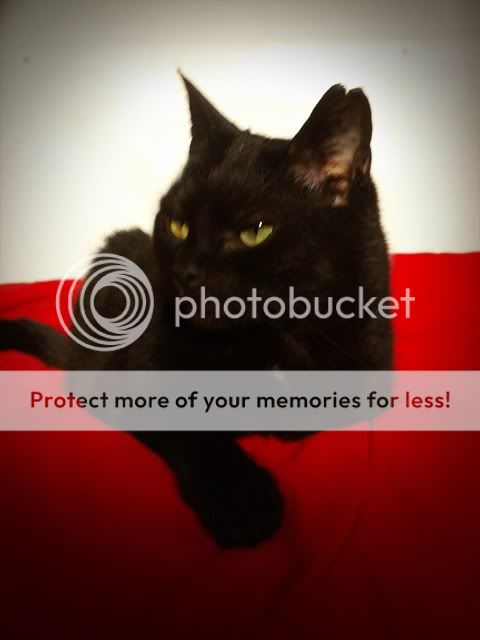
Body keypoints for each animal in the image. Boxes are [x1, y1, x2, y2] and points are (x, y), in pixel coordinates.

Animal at [0, 74, 392, 548]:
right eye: (177, 224)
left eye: (255, 231)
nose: (184, 272)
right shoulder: (128, 376)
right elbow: (185, 422)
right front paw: (243, 501)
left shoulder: (369, 369)